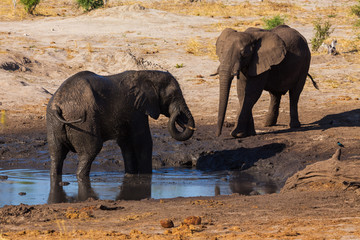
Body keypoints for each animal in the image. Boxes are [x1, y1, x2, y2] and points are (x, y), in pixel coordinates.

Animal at [47, 70, 197, 179]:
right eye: (172, 96)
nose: (176, 112)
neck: (147, 74)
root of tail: (57, 105)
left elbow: (126, 144)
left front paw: (130, 175)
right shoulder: (136, 109)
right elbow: (143, 141)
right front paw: (147, 176)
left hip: (53, 123)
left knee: (56, 154)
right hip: (83, 121)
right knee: (90, 151)